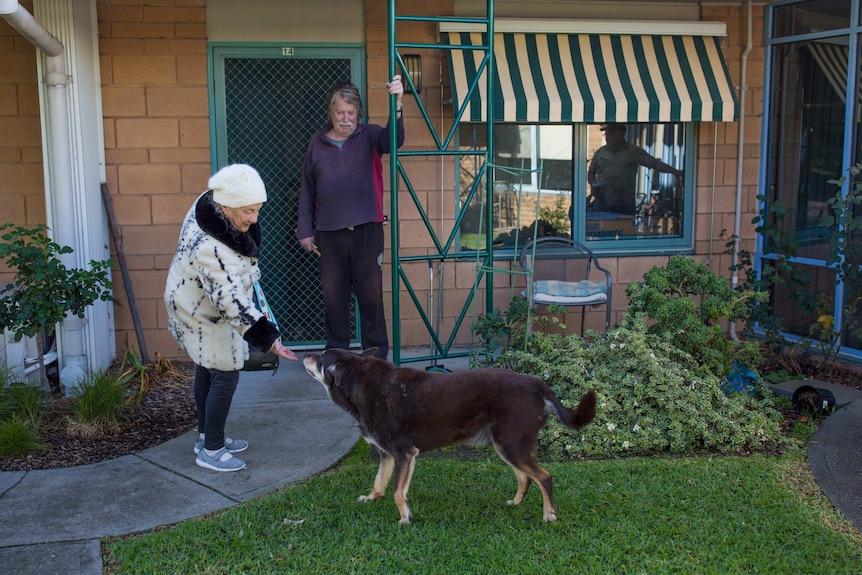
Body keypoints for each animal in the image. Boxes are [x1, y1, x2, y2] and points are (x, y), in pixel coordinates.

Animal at [300, 348, 596, 524]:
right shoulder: (386, 455)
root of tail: (536, 384)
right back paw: (516, 502)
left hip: (512, 446)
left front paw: (405, 518)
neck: (361, 383)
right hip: (507, 446)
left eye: (321, 358)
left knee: (544, 477)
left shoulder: (404, 453)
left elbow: (397, 492)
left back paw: (549, 515)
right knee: (525, 478)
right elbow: (379, 482)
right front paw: (372, 498)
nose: (304, 355)